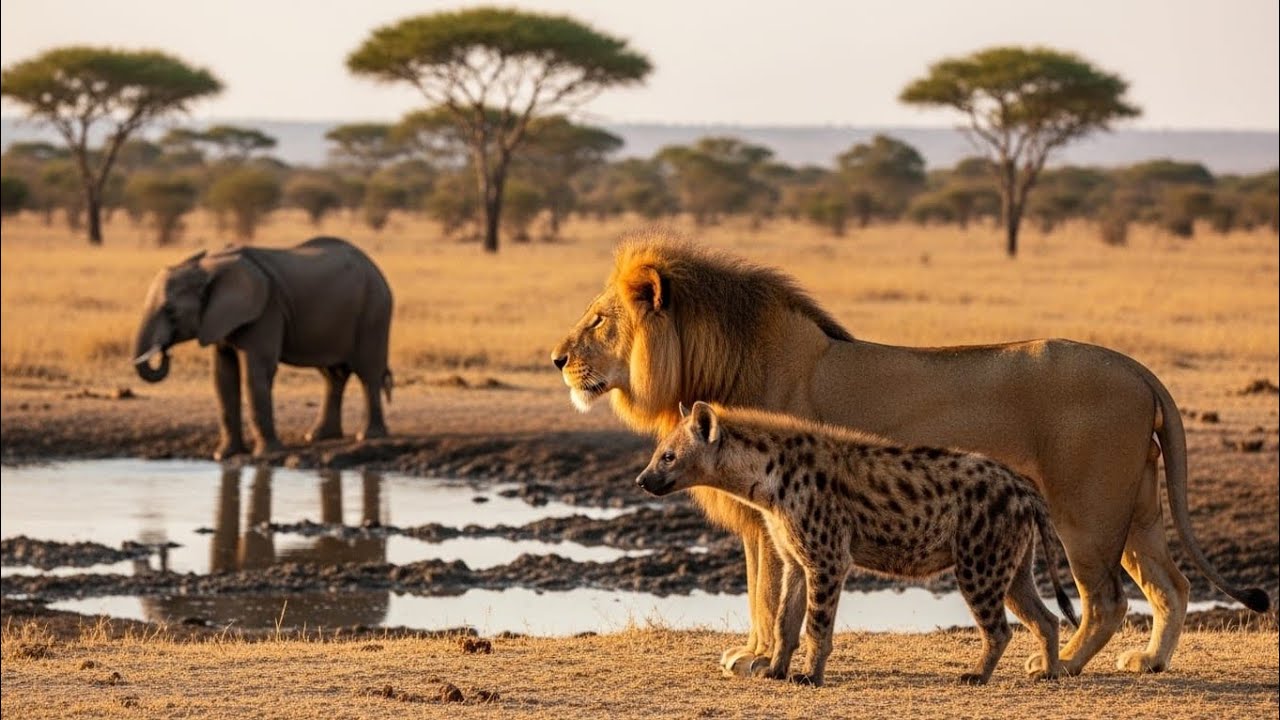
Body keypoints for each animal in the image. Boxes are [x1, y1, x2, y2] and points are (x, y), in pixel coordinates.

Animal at [132, 236, 394, 459]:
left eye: (170, 311)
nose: (165, 351)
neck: (209, 267)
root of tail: (375, 268)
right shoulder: (220, 319)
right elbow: (223, 377)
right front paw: (224, 455)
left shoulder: (266, 310)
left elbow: (256, 372)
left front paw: (266, 454)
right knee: (333, 375)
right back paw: (318, 437)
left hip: (374, 310)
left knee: (368, 373)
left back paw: (367, 436)